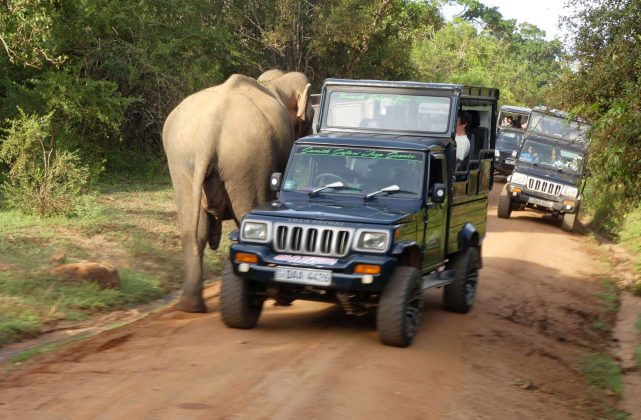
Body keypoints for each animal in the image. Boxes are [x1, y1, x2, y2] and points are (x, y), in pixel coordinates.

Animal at [160, 71, 310, 312]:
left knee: (193, 230)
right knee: (247, 215)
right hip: (248, 161)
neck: (273, 84)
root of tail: (210, 131)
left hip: (182, 161)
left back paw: (191, 306)